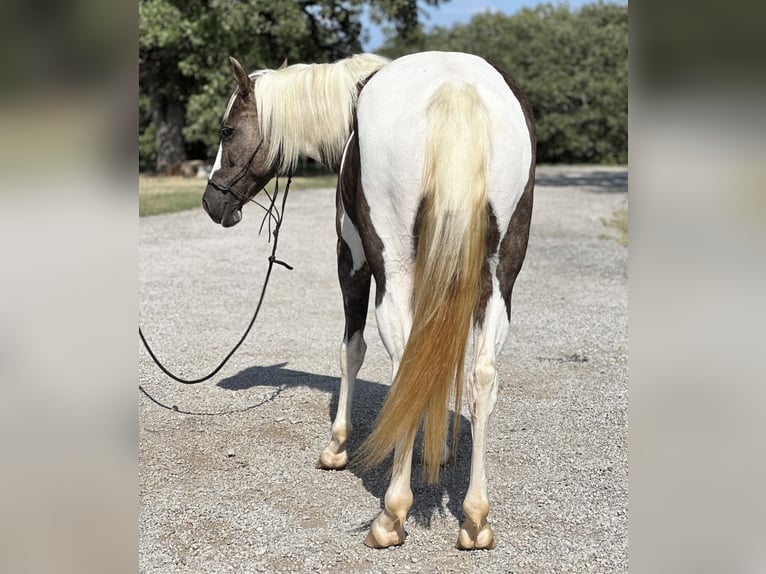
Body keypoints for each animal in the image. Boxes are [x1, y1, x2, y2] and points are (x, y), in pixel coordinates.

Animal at [204, 51, 540, 552]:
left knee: (404, 363)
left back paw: (391, 513)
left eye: (227, 131)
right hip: (500, 273)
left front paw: (337, 445)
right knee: (480, 373)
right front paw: (438, 450)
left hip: (392, 266)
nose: (212, 203)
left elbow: (352, 350)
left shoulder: (353, 259)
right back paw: (475, 518)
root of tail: (456, 85)